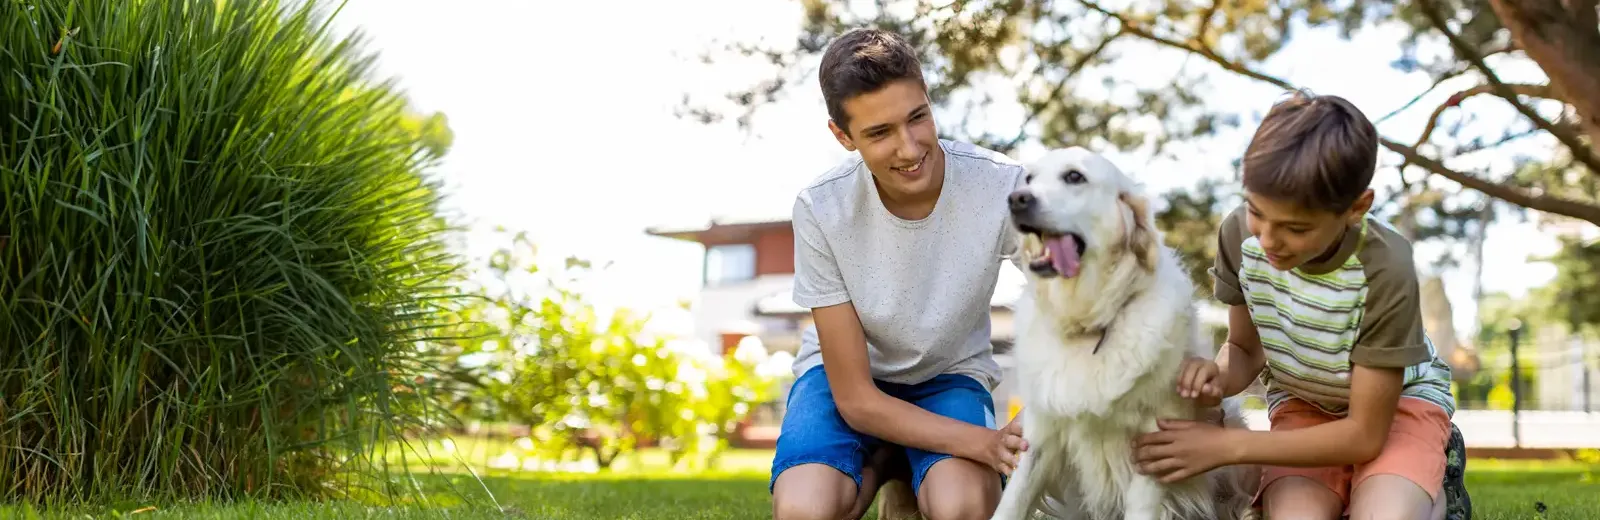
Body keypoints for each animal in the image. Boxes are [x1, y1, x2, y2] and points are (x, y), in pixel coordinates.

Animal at [992, 147, 1254, 518]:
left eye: (1074, 177)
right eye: (1029, 178)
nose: (1016, 199)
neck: (1089, 322)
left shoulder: (1154, 442)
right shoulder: (1040, 434)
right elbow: (1011, 503)